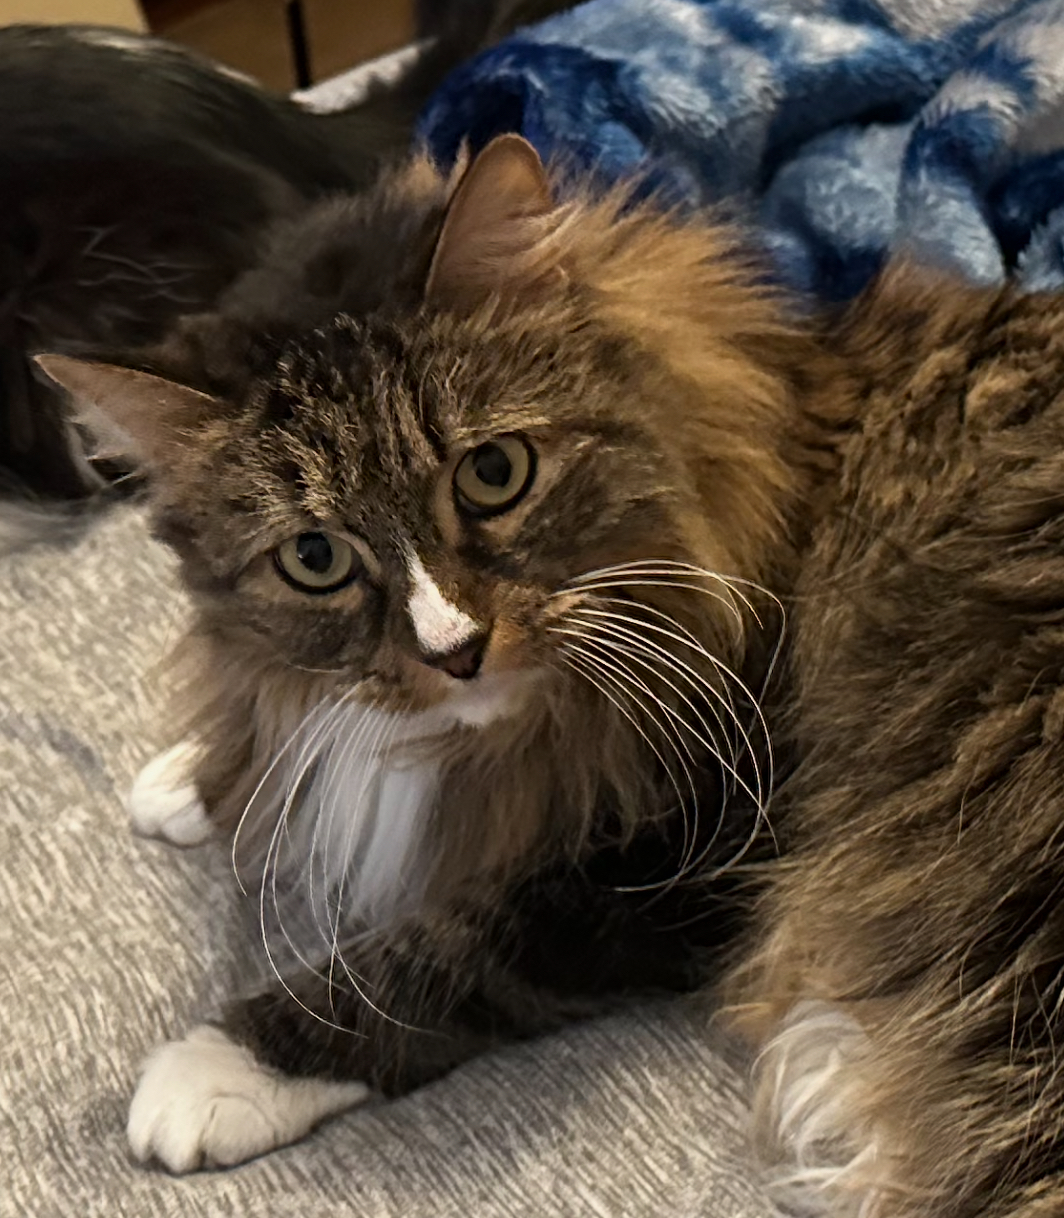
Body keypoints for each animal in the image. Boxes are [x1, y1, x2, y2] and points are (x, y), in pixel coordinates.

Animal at [37, 138, 827, 1174]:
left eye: (493, 474)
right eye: (315, 558)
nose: (457, 651)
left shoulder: (685, 845)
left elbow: (437, 954)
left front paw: (223, 1067)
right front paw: (210, 775)